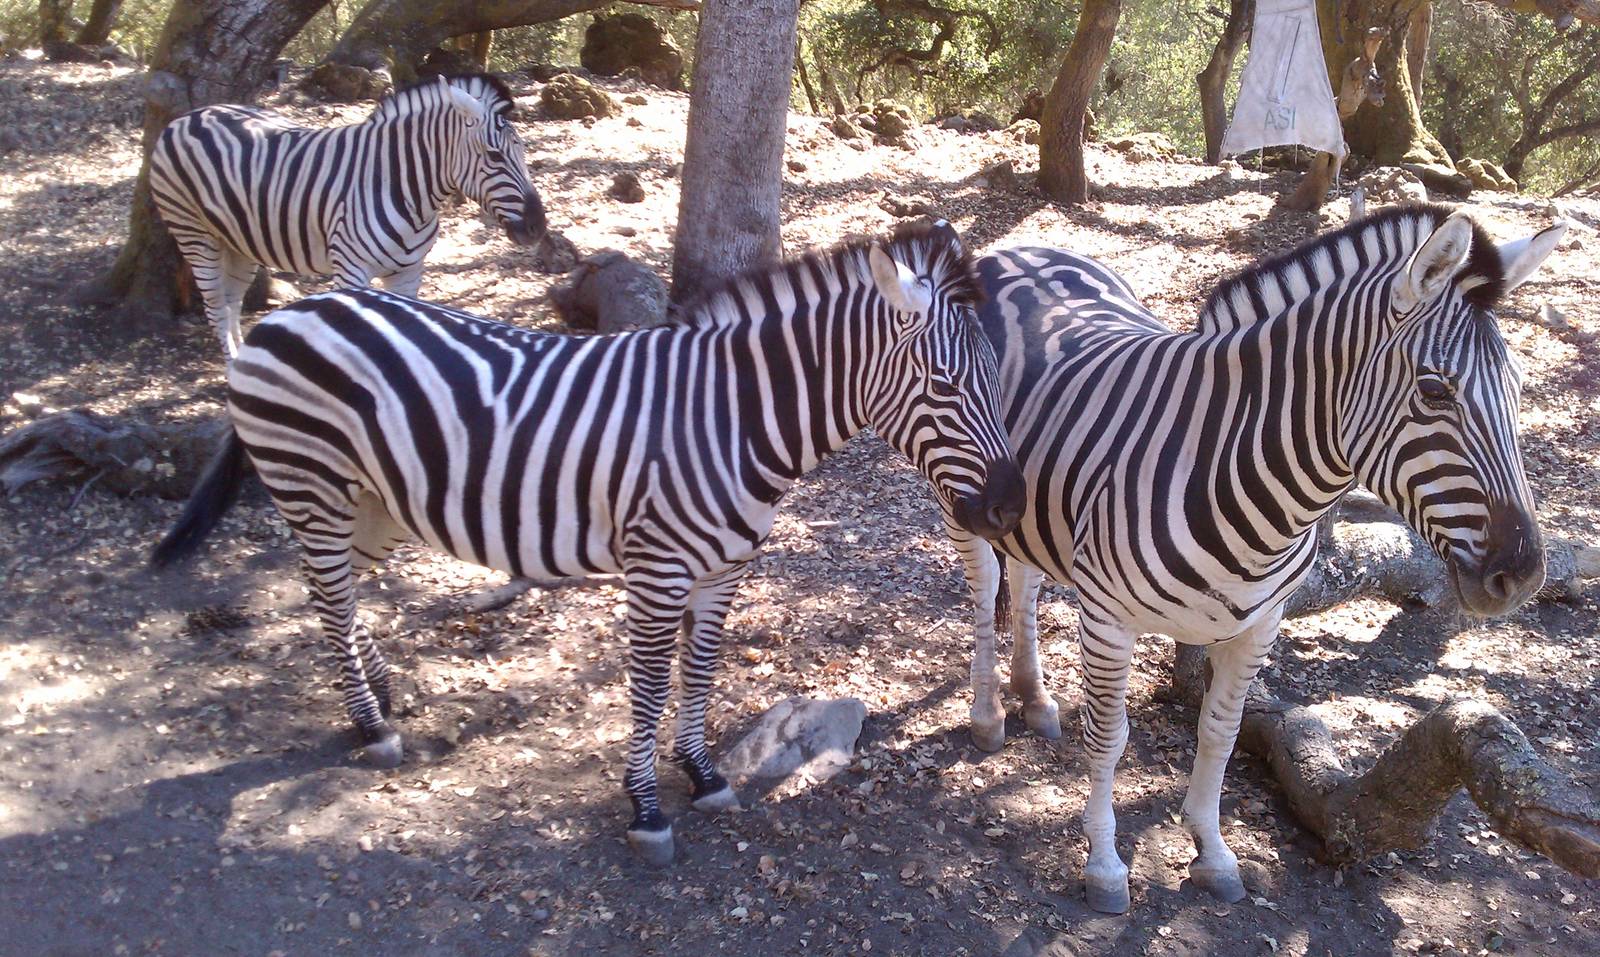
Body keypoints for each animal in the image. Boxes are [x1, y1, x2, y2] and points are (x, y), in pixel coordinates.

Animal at [149, 73, 547, 360]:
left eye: (523, 152)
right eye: (494, 156)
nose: (537, 227)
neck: (402, 187)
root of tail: (192, 115)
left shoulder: (409, 272)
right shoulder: (351, 270)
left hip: (239, 241)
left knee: (232, 302)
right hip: (193, 232)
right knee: (216, 306)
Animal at [151, 220, 1026, 865]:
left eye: (996, 377)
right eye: (946, 385)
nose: (1012, 504)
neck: (730, 415)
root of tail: (283, 315)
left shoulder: (723, 571)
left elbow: (698, 673)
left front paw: (702, 773)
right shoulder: (658, 568)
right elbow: (647, 684)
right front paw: (645, 808)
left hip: (370, 502)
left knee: (333, 591)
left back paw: (380, 691)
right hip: (316, 485)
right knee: (330, 596)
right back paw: (371, 725)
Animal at [944, 204, 1563, 912]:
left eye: (1520, 388)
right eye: (1435, 391)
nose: (1524, 577)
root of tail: (1020, 247)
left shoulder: (1258, 627)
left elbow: (1221, 731)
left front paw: (1212, 854)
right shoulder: (1107, 621)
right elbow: (1110, 735)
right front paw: (1103, 865)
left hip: (1029, 504)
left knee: (1023, 576)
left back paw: (1036, 697)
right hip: (962, 491)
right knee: (986, 583)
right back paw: (989, 714)